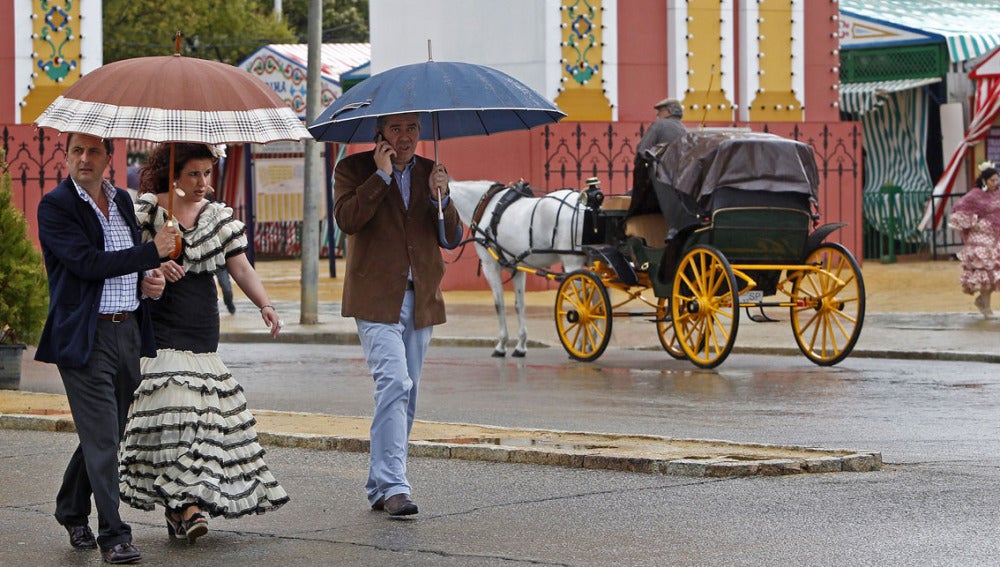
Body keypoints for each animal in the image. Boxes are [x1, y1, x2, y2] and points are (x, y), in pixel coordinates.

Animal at [448, 180, 584, 358]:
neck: (486, 204)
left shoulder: (490, 266)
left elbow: (499, 304)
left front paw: (501, 345)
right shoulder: (517, 267)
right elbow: (520, 304)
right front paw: (521, 345)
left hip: (573, 264)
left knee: (585, 304)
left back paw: (581, 345)